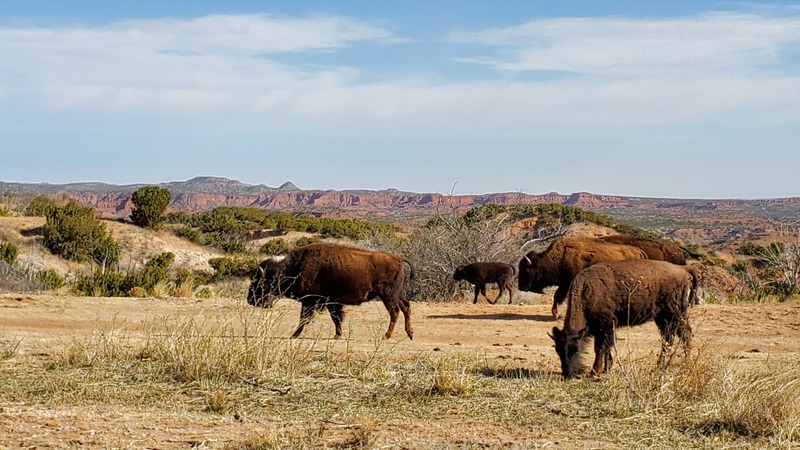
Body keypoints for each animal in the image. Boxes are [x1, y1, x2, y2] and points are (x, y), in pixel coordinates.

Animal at [248, 243, 412, 342]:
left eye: (260, 282)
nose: (250, 300)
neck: (293, 268)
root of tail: (398, 259)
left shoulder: (310, 302)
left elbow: (304, 319)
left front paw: (294, 335)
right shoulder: (331, 303)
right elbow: (336, 318)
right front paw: (337, 335)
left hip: (388, 296)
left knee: (395, 312)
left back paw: (386, 336)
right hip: (396, 295)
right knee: (405, 307)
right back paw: (409, 333)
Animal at [516, 237, 648, 318]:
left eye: (526, 269)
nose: (520, 286)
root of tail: (639, 251)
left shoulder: (568, 283)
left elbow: (559, 296)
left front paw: (556, 314)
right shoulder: (565, 284)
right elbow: (558, 297)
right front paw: (556, 314)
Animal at [552, 258, 700, 378]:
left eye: (575, 349)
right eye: (558, 350)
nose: (567, 374)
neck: (586, 291)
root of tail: (683, 269)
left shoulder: (605, 327)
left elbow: (600, 348)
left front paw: (594, 372)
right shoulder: (606, 330)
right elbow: (608, 348)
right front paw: (606, 369)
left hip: (674, 315)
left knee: (684, 334)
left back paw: (685, 363)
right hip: (663, 318)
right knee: (669, 338)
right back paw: (660, 367)